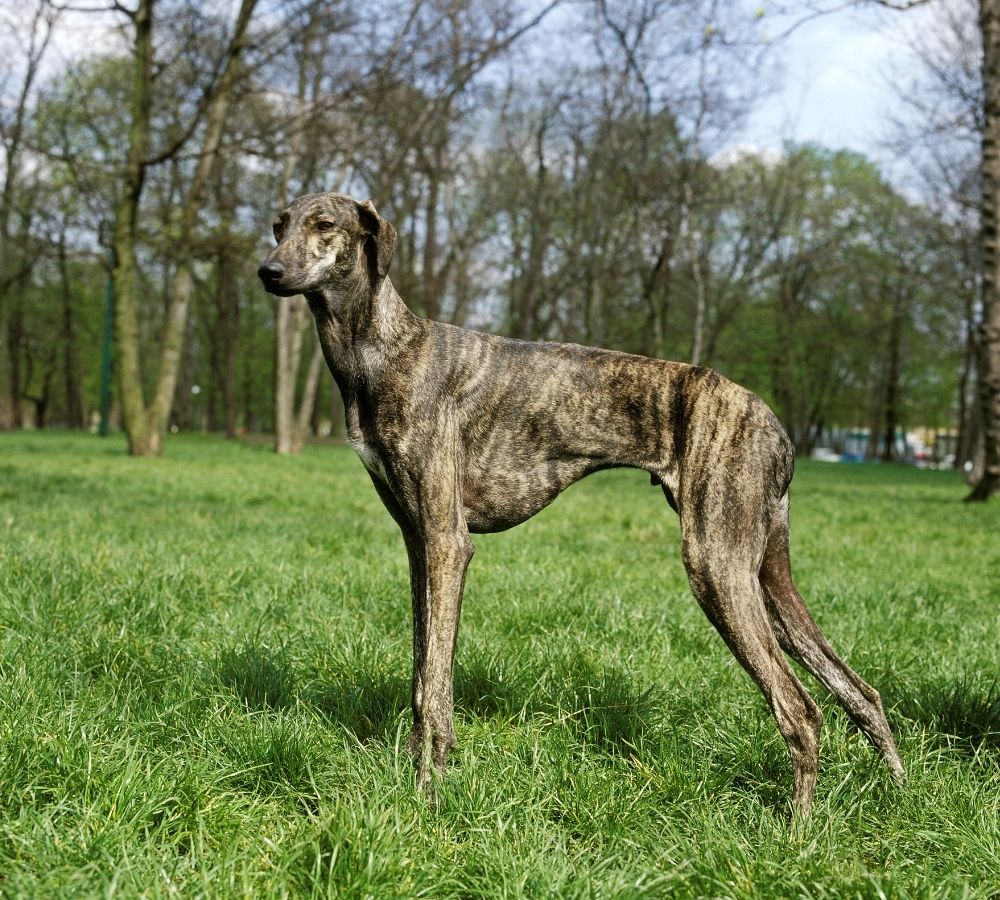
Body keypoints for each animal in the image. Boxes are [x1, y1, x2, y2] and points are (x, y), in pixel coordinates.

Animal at [260, 190, 908, 816]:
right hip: (765, 576)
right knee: (861, 693)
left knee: (801, 709)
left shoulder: (447, 543)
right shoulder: (418, 544)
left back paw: (795, 833)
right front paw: (416, 782)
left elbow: (436, 693)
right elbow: (421, 674)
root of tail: (779, 429)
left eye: (325, 224)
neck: (383, 350)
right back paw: (898, 796)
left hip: (717, 567)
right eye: (278, 224)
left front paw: (427, 800)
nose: (268, 271)